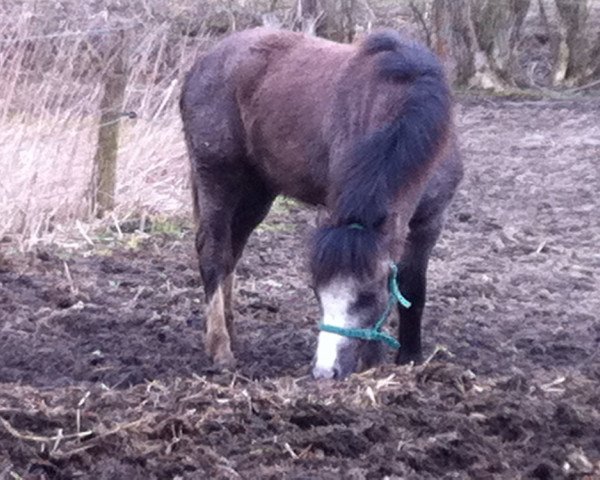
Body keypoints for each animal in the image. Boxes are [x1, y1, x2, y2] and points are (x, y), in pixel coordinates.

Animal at [179, 27, 464, 378]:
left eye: (369, 294)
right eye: (317, 291)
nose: (326, 373)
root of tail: (202, 64)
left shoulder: (430, 221)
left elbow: (412, 287)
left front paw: (408, 358)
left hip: (256, 193)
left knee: (232, 252)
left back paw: (231, 335)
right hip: (217, 178)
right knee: (214, 255)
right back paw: (220, 349)